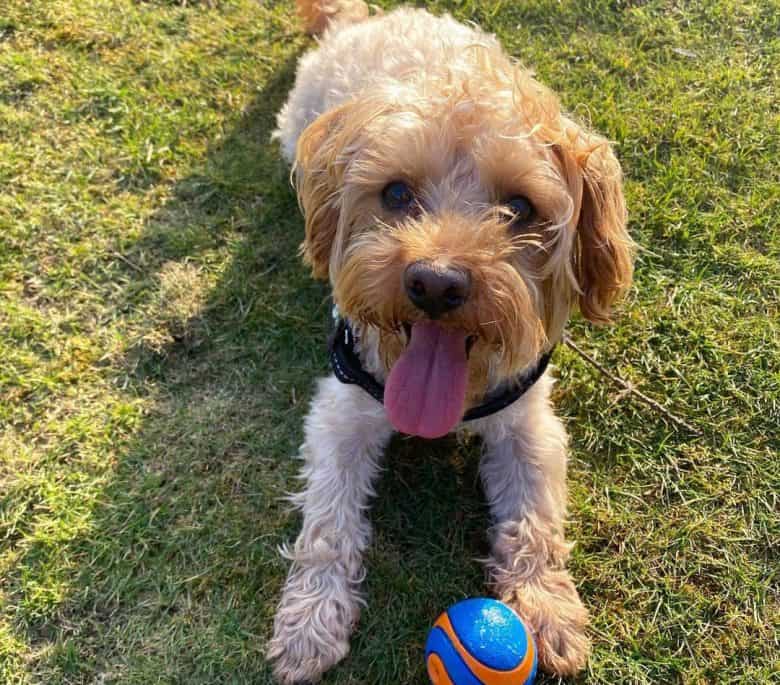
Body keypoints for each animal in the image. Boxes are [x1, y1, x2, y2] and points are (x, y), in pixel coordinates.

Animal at [268, 2, 632, 680]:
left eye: (519, 208)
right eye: (395, 193)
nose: (435, 283)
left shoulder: (529, 424)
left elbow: (536, 521)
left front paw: (549, 606)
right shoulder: (341, 411)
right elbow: (329, 522)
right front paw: (309, 619)